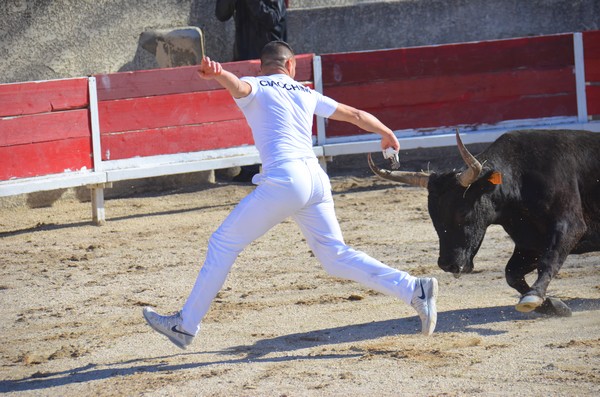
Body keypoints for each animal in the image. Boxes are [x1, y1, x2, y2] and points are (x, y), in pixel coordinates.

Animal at [368, 129, 596, 316]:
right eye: (433, 217)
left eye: (462, 212)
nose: (447, 264)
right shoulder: (530, 243)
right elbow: (512, 273)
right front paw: (553, 306)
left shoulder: (570, 227)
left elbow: (550, 259)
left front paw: (534, 296)